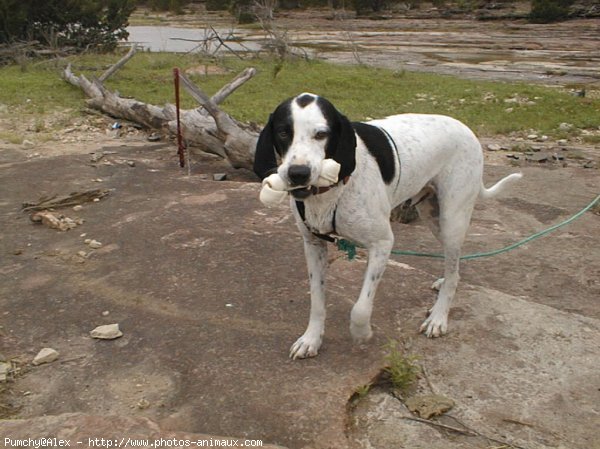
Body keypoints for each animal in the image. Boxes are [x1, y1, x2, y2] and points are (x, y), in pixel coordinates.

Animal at [253, 93, 520, 358]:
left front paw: (362, 333)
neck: (332, 190)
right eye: (283, 132)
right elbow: (317, 301)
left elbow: (360, 308)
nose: (298, 173)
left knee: (454, 270)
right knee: (454, 267)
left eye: (321, 134)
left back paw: (438, 318)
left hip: (452, 220)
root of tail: (466, 129)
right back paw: (444, 282)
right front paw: (311, 339)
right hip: (433, 217)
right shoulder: (313, 244)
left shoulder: (382, 243)